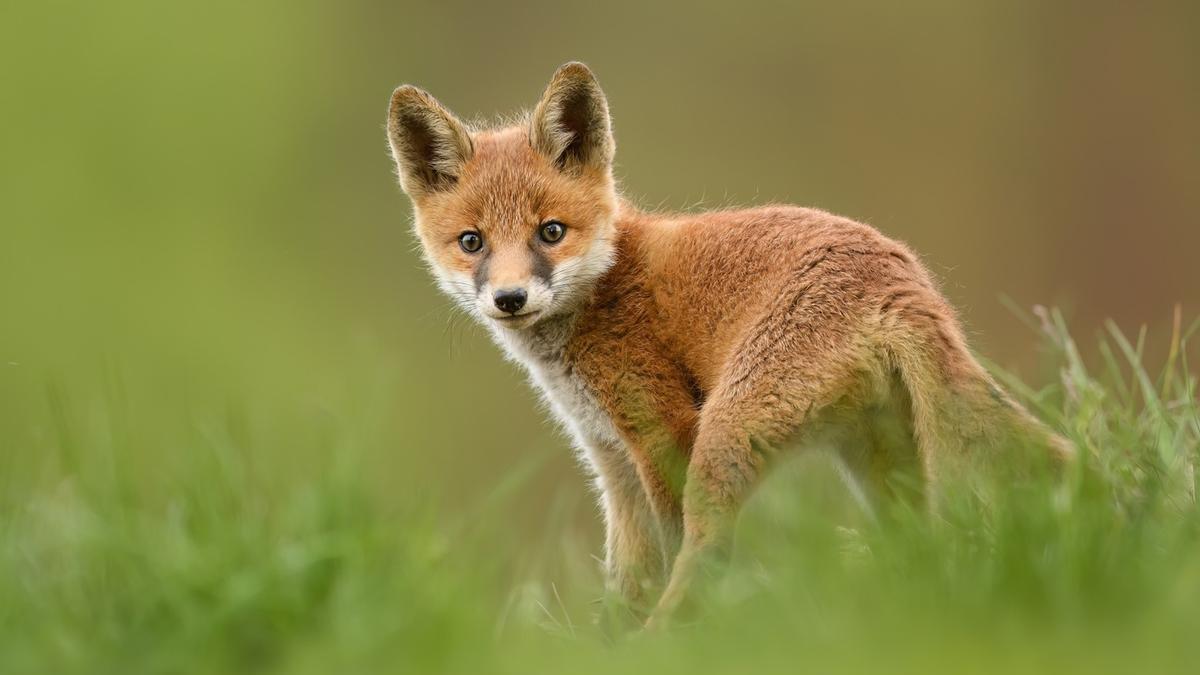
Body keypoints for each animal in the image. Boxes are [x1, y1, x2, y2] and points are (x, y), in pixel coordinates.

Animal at [385, 62, 1072, 628]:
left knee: (708, 556)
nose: (509, 298)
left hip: (724, 437)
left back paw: (667, 642)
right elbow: (626, 580)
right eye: (471, 242)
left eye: (550, 232)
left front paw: (630, 643)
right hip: (878, 457)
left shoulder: (662, 431)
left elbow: (666, 555)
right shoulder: (609, 459)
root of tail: (899, 278)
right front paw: (606, 644)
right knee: (928, 530)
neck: (605, 288)